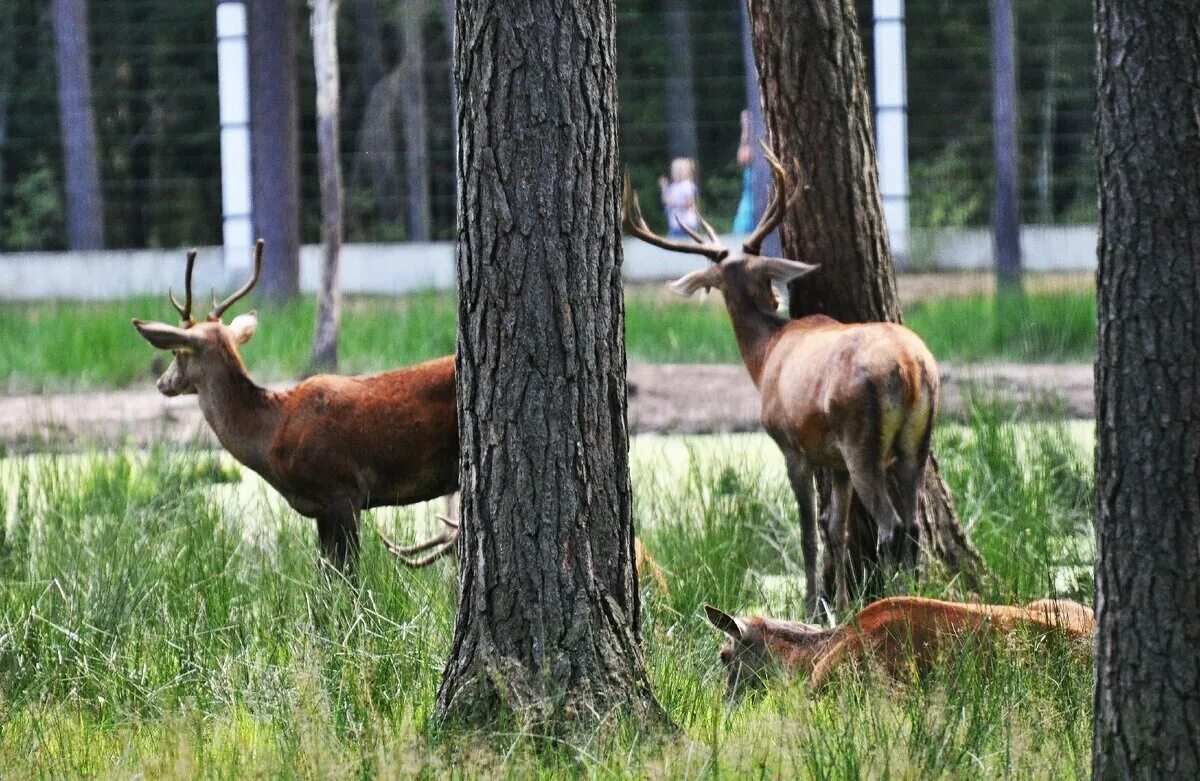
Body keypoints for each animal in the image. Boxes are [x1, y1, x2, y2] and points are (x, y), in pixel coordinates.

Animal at [131, 241, 458, 571]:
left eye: (176, 351)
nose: (162, 382)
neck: (273, 434)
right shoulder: (323, 507)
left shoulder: (342, 487)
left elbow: (346, 572)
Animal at [624, 152, 940, 619]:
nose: (777, 298)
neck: (764, 355)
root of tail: (910, 367)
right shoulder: (834, 463)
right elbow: (837, 530)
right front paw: (838, 604)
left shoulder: (791, 445)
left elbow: (809, 532)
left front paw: (811, 609)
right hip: (916, 440)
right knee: (914, 526)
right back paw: (919, 595)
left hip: (860, 438)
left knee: (892, 526)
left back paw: (894, 599)